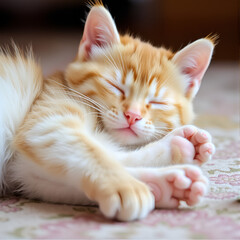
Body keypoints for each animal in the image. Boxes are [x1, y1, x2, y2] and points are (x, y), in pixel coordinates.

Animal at [0, 4, 216, 221]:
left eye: (157, 102)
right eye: (116, 87)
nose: (132, 115)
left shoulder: (23, 172)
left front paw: (168, 173)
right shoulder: (46, 124)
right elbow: (93, 152)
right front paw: (127, 186)